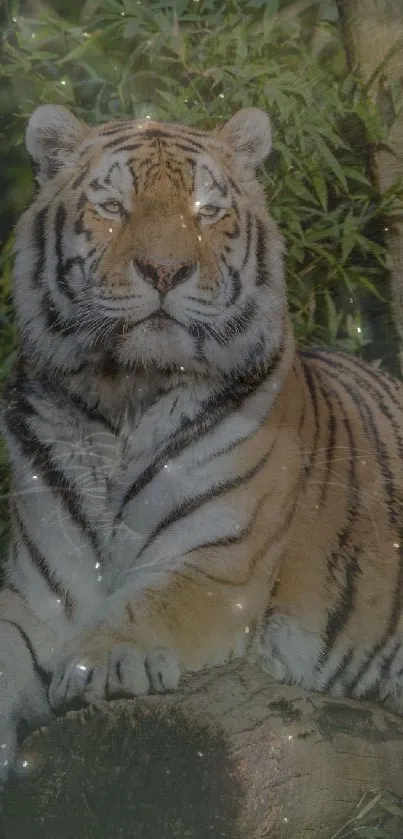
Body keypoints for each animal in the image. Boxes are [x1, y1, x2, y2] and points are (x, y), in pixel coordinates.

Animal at [0, 106, 403, 788]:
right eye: (114, 206)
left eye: (206, 210)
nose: (165, 270)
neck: (125, 399)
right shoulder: (42, 592)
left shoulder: (217, 565)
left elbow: (153, 603)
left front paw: (105, 660)